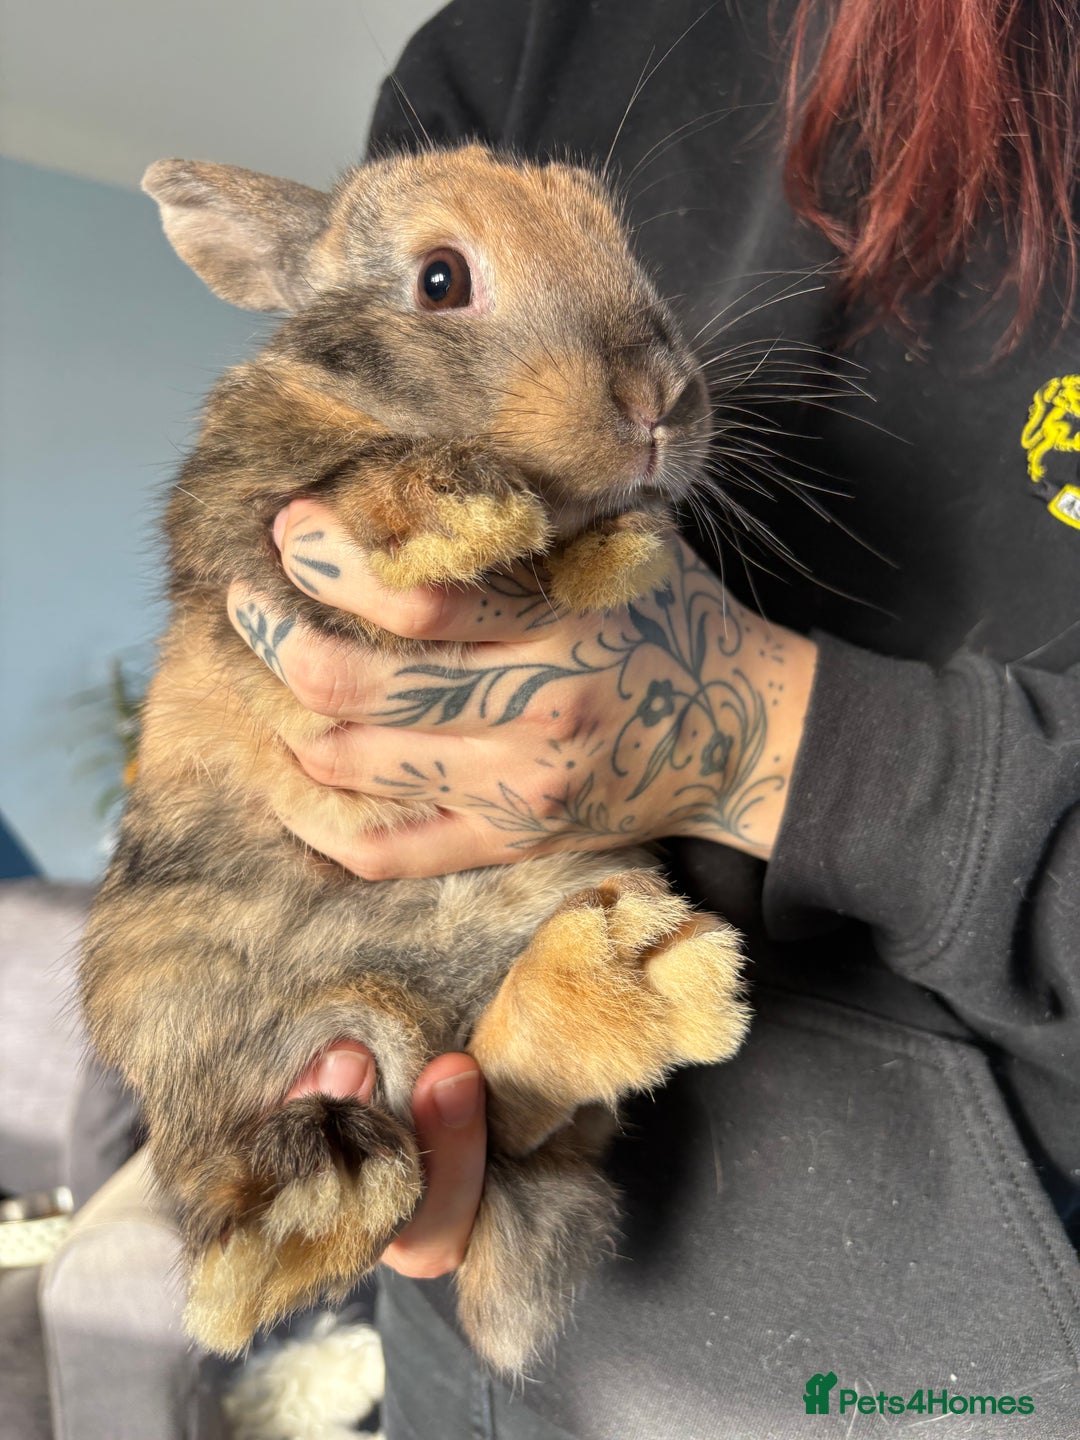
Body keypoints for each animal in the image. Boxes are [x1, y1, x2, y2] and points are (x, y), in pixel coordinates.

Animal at [79, 144, 750, 1376]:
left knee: (513, 1100)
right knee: (235, 1182)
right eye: (441, 279)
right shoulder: (258, 537)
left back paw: (641, 978)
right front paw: (463, 503)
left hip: (574, 895)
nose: (658, 402)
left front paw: (621, 546)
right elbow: (361, 486)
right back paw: (325, 1189)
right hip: (192, 1010)